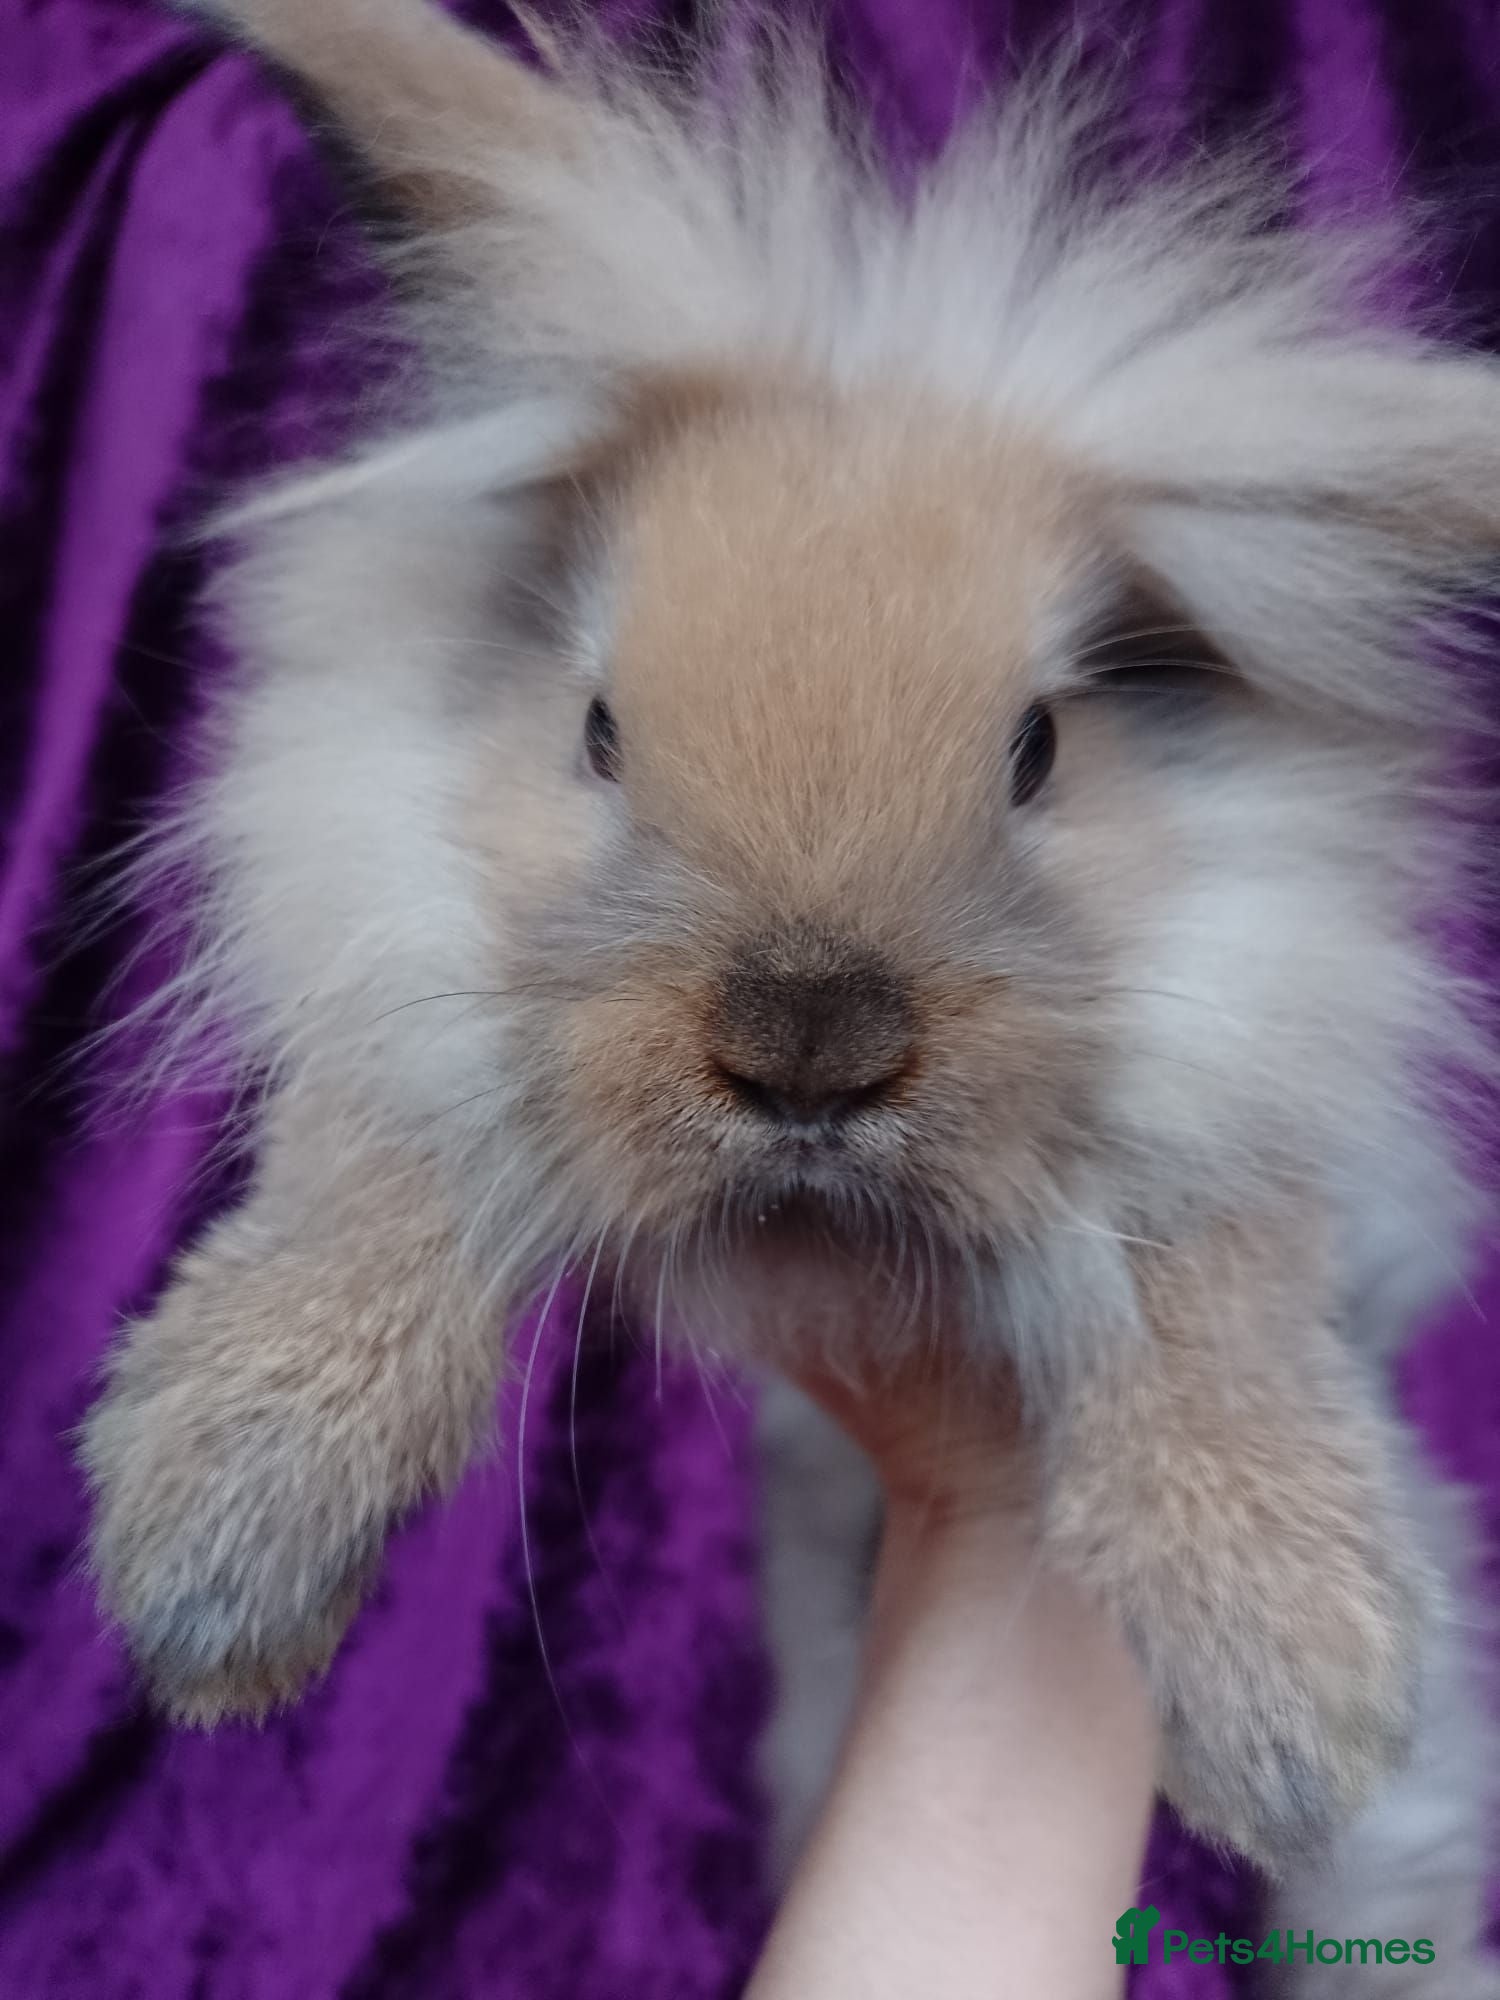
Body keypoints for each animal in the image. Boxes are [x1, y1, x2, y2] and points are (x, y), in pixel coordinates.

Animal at [80, 0, 1500, 1986]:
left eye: (1039, 749)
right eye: (599, 728)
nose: (810, 1047)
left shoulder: (1262, 1088)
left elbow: (1209, 1287)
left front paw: (1287, 1687)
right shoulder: (403, 972)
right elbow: (377, 1173)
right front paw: (222, 1541)